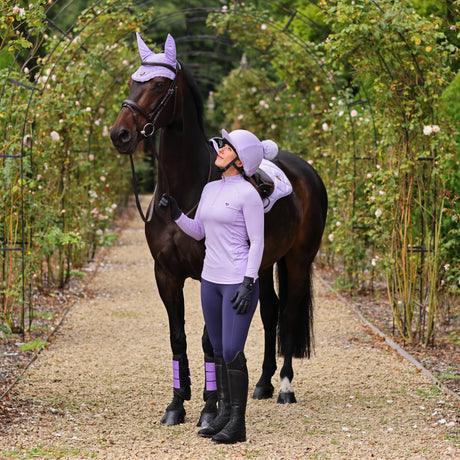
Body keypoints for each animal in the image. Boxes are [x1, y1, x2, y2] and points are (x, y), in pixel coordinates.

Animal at [110, 34, 328, 426]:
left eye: (160, 84)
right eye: (133, 81)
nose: (120, 134)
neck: (187, 189)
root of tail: (307, 172)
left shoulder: (209, 274)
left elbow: (208, 342)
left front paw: (209, 409)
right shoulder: (165, 275)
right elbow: (178, 339)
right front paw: (176, 405)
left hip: (298, 262)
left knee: (288, 314)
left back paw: (285, 387)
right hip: (262, 264)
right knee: (270, 312)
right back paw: (263, 384)